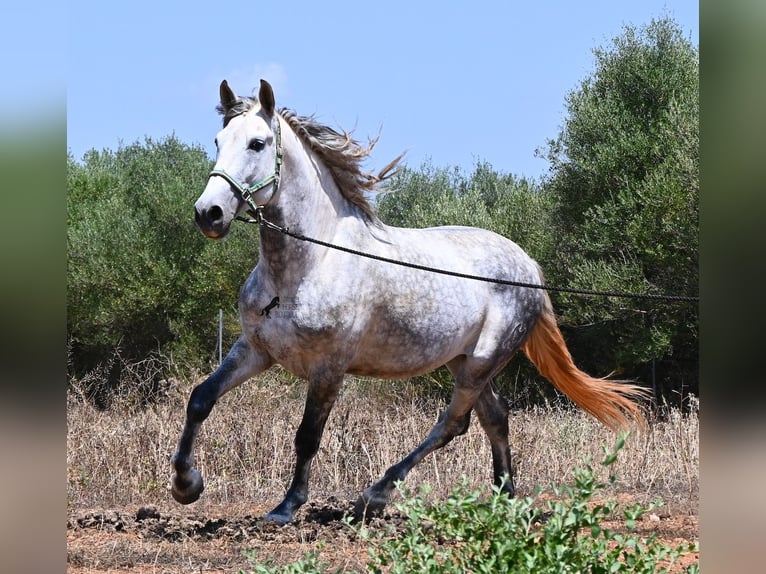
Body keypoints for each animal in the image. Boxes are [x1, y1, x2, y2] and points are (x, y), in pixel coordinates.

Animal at [171, 79, 647, 524]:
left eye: (258, 142)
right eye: (218, 140)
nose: (209, 213)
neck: (308, 266)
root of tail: (527, 265)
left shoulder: (329, 368)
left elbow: (307, 436)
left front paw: (286, 507)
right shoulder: (255, 350)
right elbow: (201, 398)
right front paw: (186, 485)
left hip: (481, 362)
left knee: (453, 423)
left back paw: (376, 494)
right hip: (463, 359)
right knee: (495, 416)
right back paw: (502, 500)